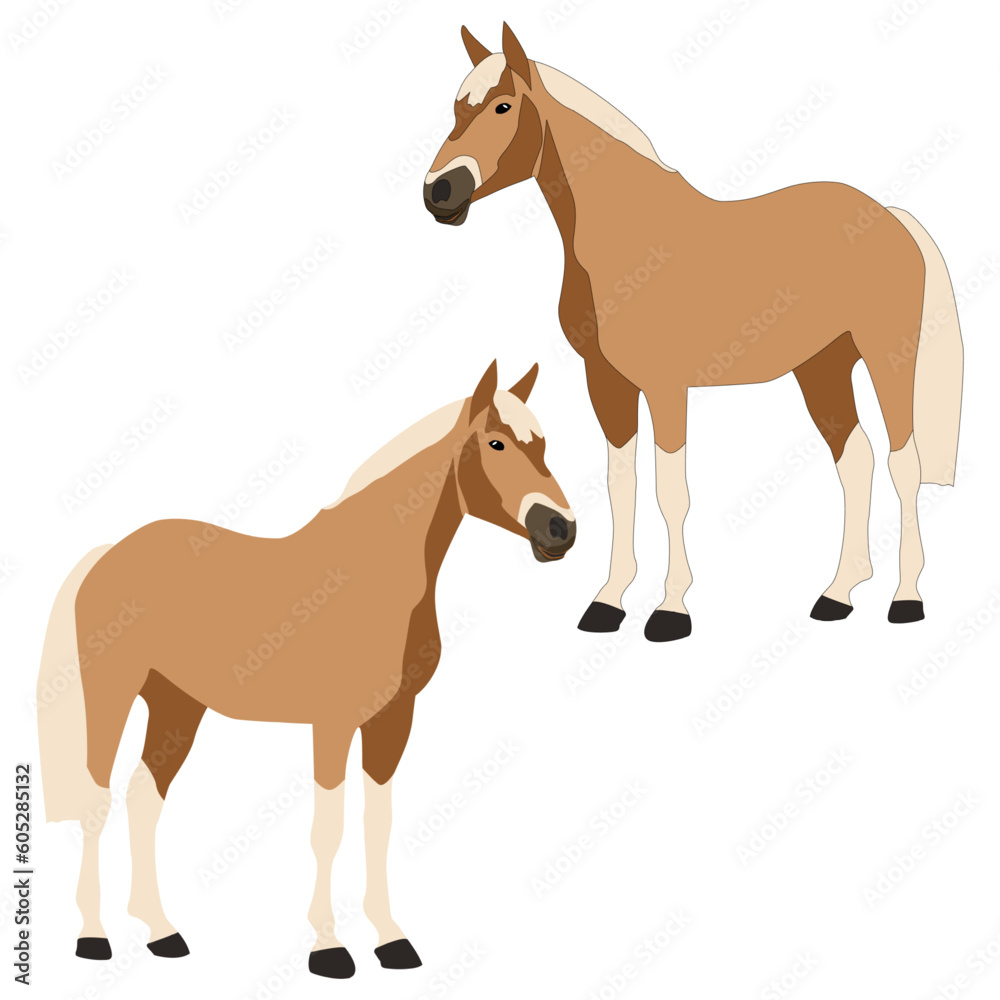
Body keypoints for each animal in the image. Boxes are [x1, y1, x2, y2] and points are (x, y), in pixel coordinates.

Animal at [37, 361, 575, 979]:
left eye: (544, 444)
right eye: (495, 443)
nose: (561, 530)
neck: (374, 573)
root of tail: (107, 553)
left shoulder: (393, 720)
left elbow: (377, 825)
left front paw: (391, 941)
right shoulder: (332, 725)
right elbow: (328, 829)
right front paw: (329, 948)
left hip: (177, 706)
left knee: (145, 796)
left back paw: (162, 933)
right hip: (112, 695)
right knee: (95, 798)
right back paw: (93, 937)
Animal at [423, 24, 964, 641]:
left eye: (503, 106)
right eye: (456, 108)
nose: (439, 193)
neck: (626, 239)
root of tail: (890, 216)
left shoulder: (666, 388)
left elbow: (671, 492)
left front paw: (670, 610)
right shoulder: (605, 382)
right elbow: (622, 486)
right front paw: (607, 603)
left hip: (886, 358)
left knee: (904, 463)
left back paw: (906, 599)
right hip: (822, 368)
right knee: (856, 461)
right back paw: (838, 595)